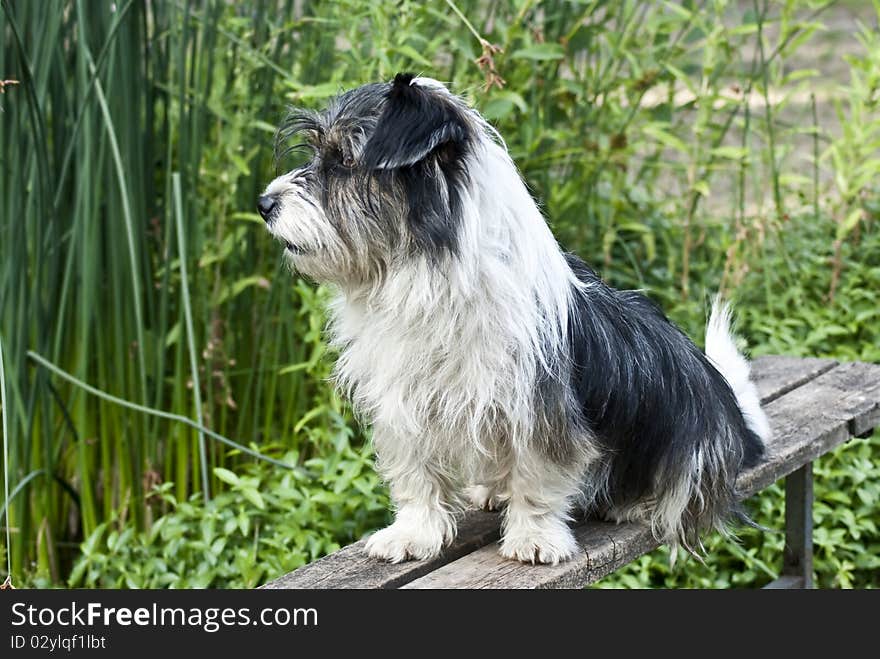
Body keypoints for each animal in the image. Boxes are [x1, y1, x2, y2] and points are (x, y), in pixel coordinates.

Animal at [258, 73, 768, 568]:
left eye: (344, 161)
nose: (264, 203)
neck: (424, 272)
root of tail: (737, 425)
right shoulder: (403, 400)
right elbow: (416, 474)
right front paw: (413, 534)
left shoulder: (541, 410)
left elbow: (539, 475)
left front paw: (535, 537)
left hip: (687, 431)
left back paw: (638, 502)